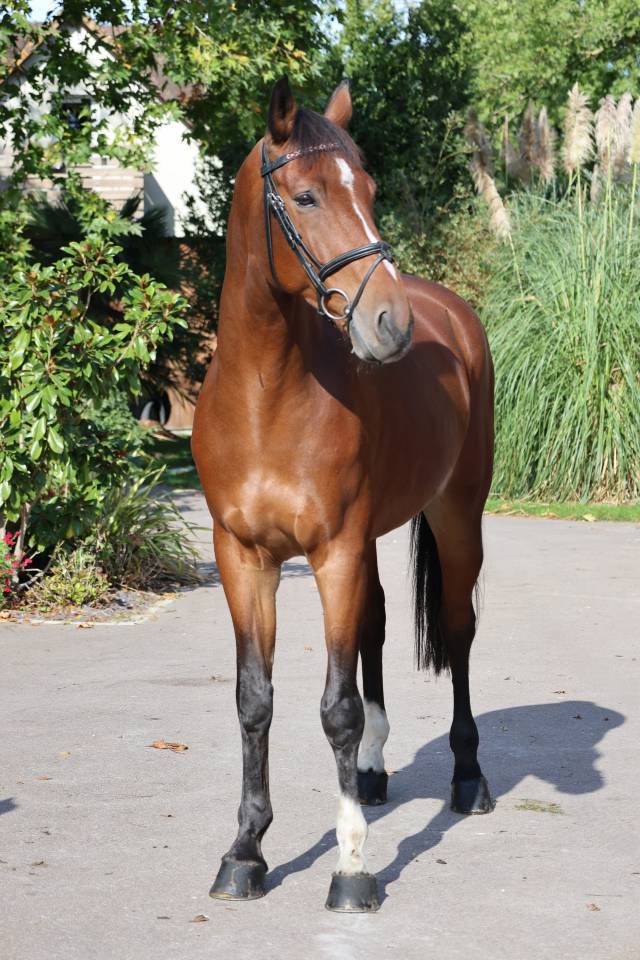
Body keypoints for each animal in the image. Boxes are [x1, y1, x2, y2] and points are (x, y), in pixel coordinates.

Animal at [192, 77, 494, 913]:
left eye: (369, 191)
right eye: (305, 196)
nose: (388, 322)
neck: (265, 396)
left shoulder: (334, 552)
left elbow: (336, 707)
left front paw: (352, 865)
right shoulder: (246, 558)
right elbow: (254, 700)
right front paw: (245, 852)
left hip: (456, 515)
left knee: (457, 631)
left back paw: (469, 779)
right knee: (378, 627)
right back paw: (374, 770)